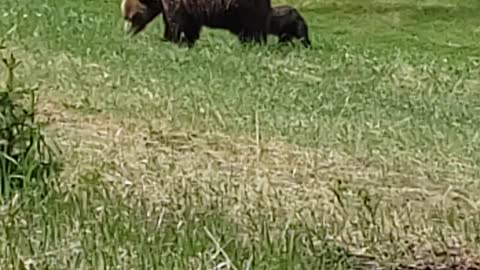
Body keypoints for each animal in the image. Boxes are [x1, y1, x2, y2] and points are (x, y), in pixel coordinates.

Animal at [119, 0, 272, 46]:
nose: (127, 32)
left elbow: (176, 23)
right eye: (125, 17)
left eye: (131, 18)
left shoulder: (177, 5)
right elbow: (190, 26)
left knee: (251, 28)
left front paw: (171, 38)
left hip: (242, 8)